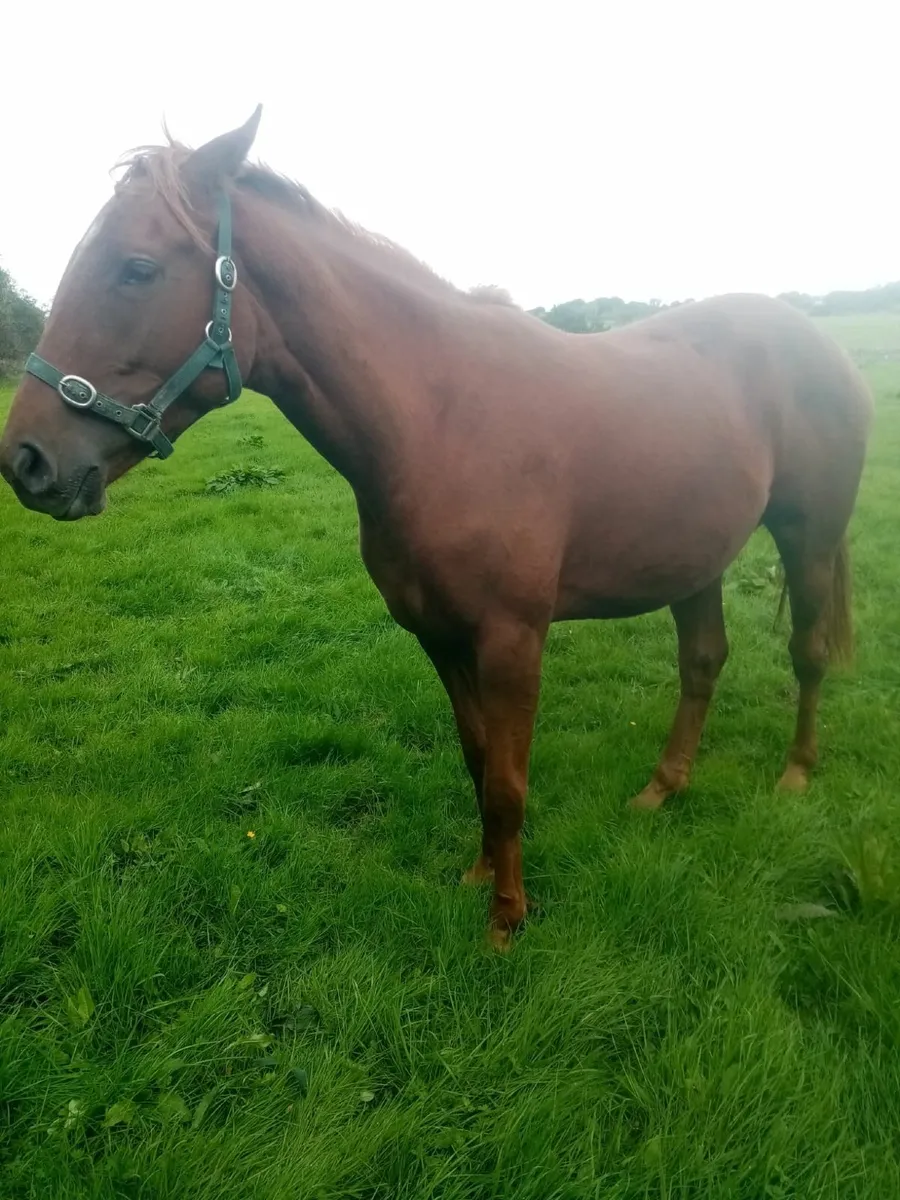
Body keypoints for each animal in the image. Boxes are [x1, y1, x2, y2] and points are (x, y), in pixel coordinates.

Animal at [0, 108, 873, 948]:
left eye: (137, 268)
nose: (28, 463)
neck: (441, 421)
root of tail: (822, 344)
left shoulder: (512, 640)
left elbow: (510, 783)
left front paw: (507, 921)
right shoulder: (438, 635)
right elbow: (477, 759)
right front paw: (480, 877)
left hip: (808, 538)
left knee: (807, 653)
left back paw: (796, 774)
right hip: (694, 558)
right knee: (702, 662)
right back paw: (662, 788)